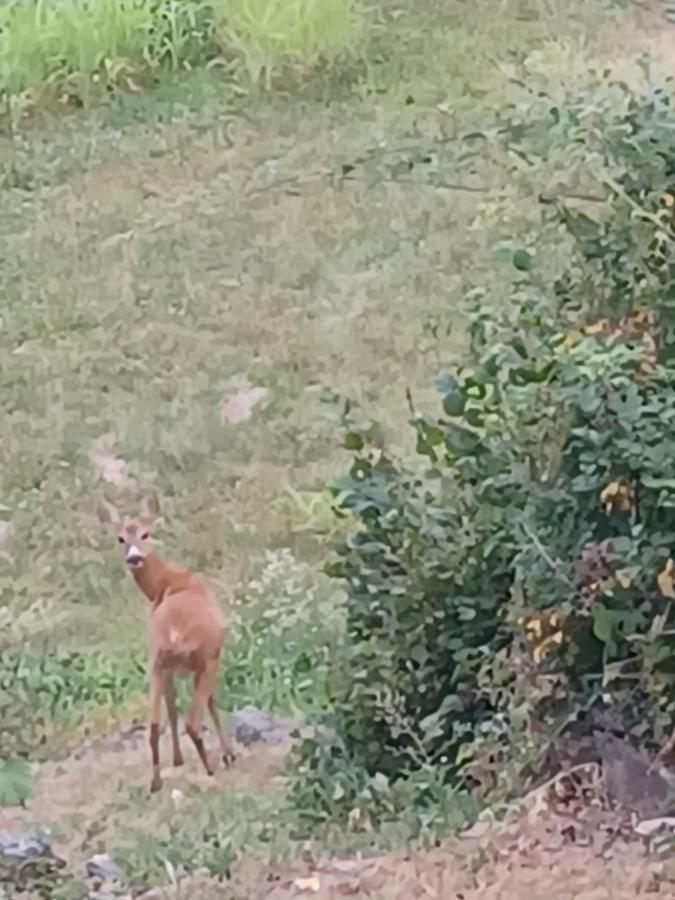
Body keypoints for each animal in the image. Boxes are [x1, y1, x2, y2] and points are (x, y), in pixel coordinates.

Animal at [96, 492, 236, 796]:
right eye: (120, 538)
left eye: (145, 534)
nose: (134, 558)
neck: (167, 582)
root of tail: (174, 633)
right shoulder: (213, 655)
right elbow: (213, 703)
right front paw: (228, 754)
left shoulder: (167, 667)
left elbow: (170, 711)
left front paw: (178, 760)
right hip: (203, 659)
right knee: (192, 721)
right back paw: (211, 767)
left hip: (156, 662)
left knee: (153, 724)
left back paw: (156, 780)